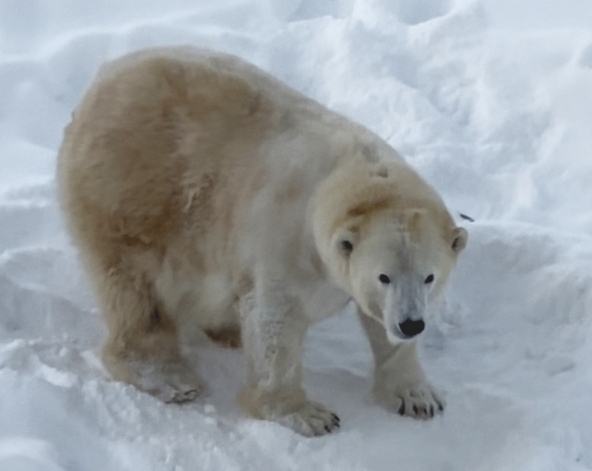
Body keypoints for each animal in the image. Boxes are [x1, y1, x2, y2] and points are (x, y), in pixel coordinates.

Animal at [57, 46, 470, 436]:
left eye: (430, 277)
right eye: (383, 276)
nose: (411, 324)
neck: (343, 178)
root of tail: (102, 78)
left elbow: (379, 327)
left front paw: (418, 397)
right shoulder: (283, 240)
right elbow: (274, 322)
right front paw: (308, 415)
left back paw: (225, 330)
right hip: (133, 192)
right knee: (136, 291)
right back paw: (168, 376)